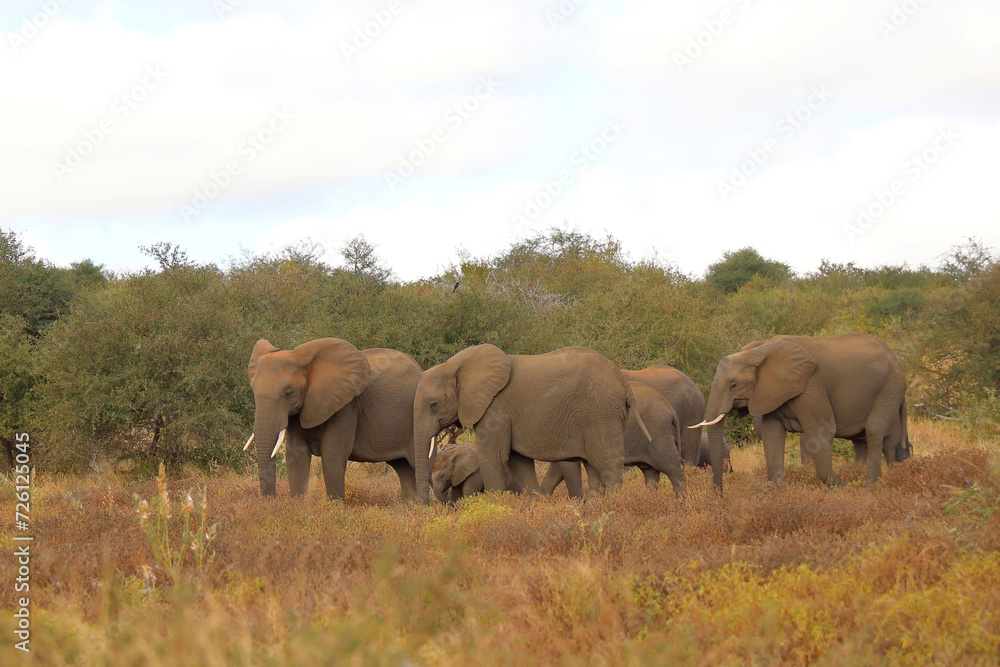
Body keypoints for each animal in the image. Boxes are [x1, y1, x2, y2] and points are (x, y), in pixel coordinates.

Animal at [246, 338, 422, 500]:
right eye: (253, 391)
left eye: (289, 392)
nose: (271, 499)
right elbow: (296, 455)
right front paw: (298, 505)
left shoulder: (346, 407)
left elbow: (332, 454)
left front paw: (335, 507)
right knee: (404, 468)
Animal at [413, 344, 648, 505]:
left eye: (433, 405)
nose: (425, 509)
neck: (455, 367)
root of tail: (621, 379)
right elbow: (518, 461)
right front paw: (535, 506)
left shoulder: (495, 409)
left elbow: (493, 457)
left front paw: (497, 509)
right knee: (594, 467)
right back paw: (592, 507)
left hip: (601, 413)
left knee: (607, 464)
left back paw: (614, 507)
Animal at [540, 381, 686, 496]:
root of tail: (671, 410)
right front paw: (541, 500)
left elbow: (567, 465)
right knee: (650, 472)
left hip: (658, 432)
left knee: (670, 466)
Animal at [694, 333, 911, 491]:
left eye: (733, 385)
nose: (720, 495)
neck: (758, 351)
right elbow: (772, 436)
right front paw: (777, 493)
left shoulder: (811, 388)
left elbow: (822, 434)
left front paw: (845, 487)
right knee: (886, 440)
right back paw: (894, 476)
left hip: (890, 387)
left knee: (874, 432)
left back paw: (869, 485)